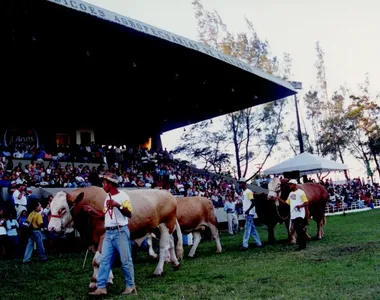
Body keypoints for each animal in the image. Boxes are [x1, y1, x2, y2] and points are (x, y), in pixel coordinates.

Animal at [47, 186, 183, 290]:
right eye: (50, 207)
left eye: (63, 208)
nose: (51, 228)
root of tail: (167, 193)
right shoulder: (92, 241)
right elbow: (104, 258)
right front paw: (108, 279)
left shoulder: (103, 236)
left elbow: (96, 261)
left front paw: (94, 282)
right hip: (157, 228)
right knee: (171, 242)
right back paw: (175, 263)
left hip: (166, 225)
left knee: (164, 246)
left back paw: (158, 270)